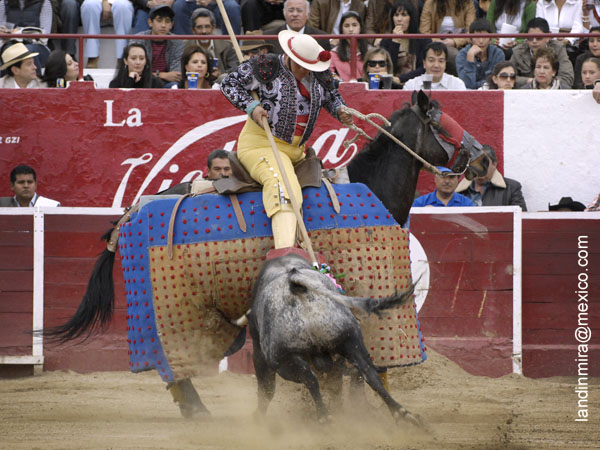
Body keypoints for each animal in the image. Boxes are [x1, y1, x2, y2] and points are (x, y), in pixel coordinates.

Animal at [41, 89, 488, 420]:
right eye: (443, 123)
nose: (485, 158)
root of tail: (130, 212)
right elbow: (365, 369)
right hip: (169, 315)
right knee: (174, 365)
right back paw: (199, 411)